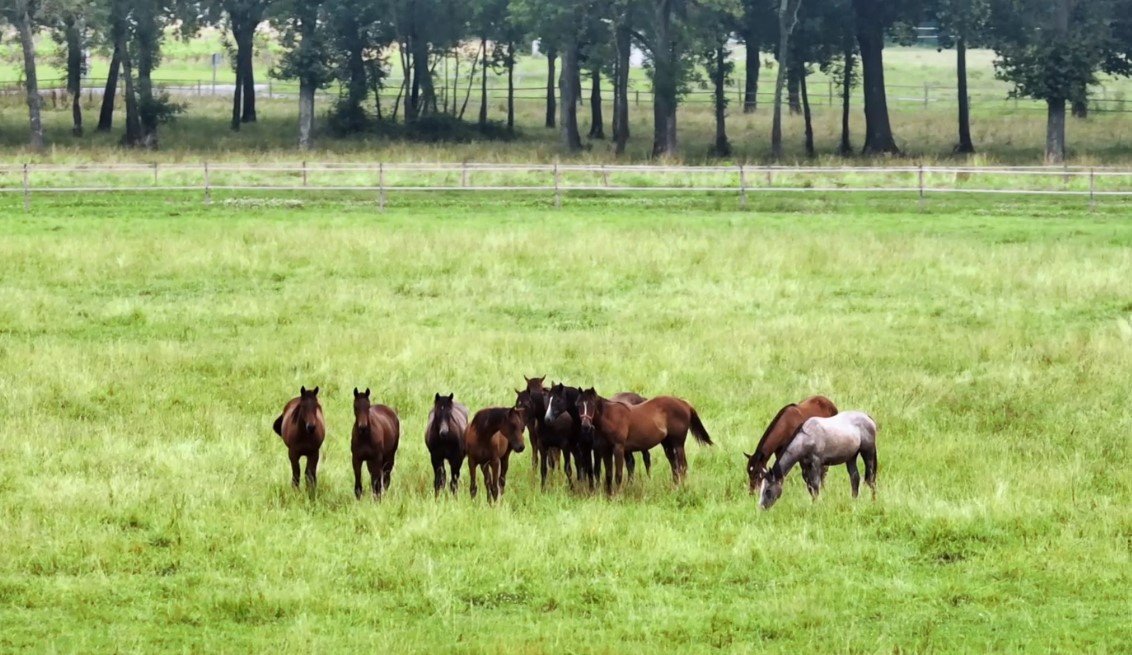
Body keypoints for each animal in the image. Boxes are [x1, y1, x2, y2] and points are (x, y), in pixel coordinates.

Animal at [568, 387, 713, 494]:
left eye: (592, 405)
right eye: (578, 405)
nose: (585, 426)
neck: (610, 418)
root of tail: (685, 404)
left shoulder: (619, 448)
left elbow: (618, 474)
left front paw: (617, 495)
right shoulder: (605, 450)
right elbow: (609, 473)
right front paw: (609, 495)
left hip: (678, 444)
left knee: (682, 466)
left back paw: (680, 488)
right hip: (667, 444)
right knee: (675, 466)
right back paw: (675, 486)